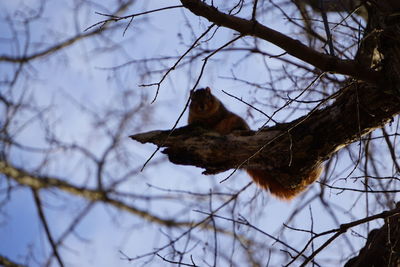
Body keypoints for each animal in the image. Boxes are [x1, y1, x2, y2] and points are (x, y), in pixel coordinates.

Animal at [188, 87, 322, 200]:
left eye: (208, 96)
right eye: (192, 99)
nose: (201, 105)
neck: (204, 115)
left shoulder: (220, 113)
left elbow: (214, 120)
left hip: (236, 121)